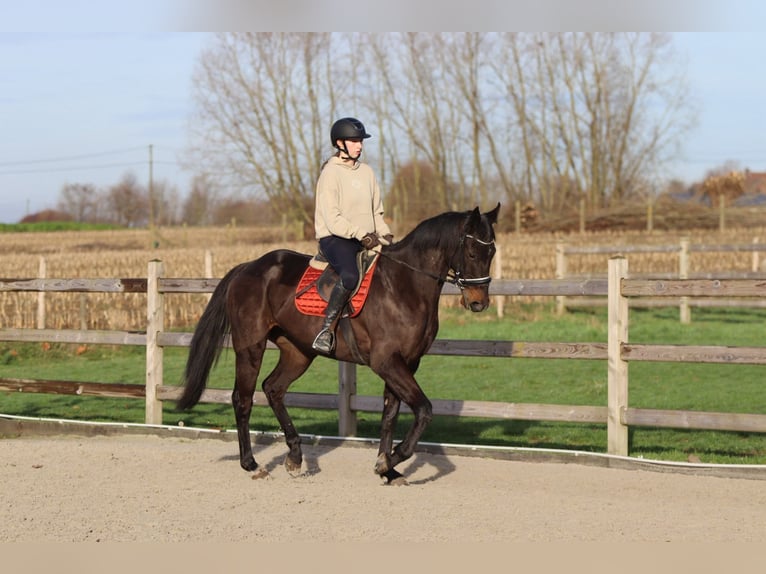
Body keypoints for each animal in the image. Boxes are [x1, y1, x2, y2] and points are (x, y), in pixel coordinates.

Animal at [177, 203, 500, 484]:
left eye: (493, 250)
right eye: (472, 251)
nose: (478, 303)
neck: (403, 285)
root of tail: (247, 267)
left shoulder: (407, 363)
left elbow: (389, 415)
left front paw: (387, 469)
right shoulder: (386, 361)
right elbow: (424, 410)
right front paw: (389, 460)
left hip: (298, 352)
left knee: (273, 388)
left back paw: (295, 456)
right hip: (250, 348)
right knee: (242, 399)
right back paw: (252, 464)